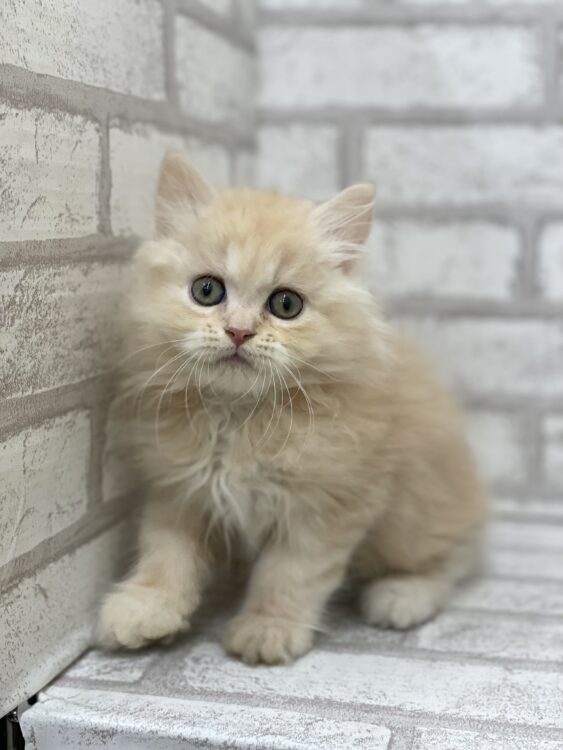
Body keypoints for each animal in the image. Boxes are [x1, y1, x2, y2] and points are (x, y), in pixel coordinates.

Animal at [98, 151, 486, 664]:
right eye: (207, 291)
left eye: (286, 304)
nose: (239, 331)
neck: (238, 417)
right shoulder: (178, 488)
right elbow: (166, 552)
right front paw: (147, 608)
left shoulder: (326, 506)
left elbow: (290, 575)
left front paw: (268, 630)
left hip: (416, 512)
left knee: (454, 558)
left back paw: (402, 596)